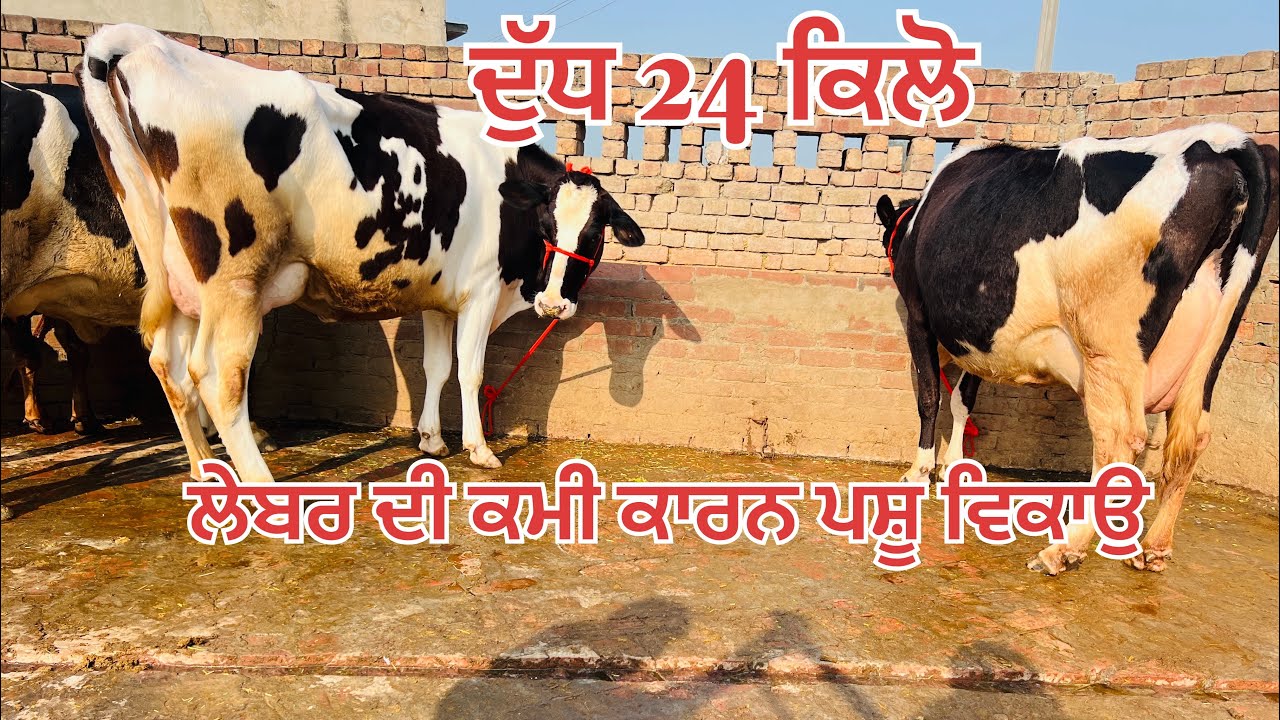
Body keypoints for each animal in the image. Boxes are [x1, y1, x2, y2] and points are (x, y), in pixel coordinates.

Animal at [79, 24, 645, 483]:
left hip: (177, 278)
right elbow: (470, 370)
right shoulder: (481, 291)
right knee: (218, 376)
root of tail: (149, 44)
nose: (554, 305)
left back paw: (203, 468)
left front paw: (431, 440)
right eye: (548, 224)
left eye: (593, 234)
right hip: (233, 282)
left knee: (167, 366)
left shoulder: (440, 298)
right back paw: (260, 483)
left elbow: (436, 368)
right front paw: (480, 450)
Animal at [876, 125, 1277, 575]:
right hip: (1211, 350)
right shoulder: (978, 339)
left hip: (1107, 345)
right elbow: (964, 401)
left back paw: (1063, 549)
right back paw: (1152, 548)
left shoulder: (919, 317)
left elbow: (930, 398)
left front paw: (920, 471)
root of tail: (1220, 142)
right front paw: (954, 467)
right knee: (1191, 438)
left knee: (1119, 438)